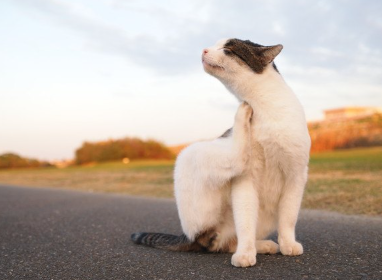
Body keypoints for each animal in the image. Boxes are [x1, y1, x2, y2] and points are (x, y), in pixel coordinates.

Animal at [131, 38, 310, 268]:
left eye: (228, 49)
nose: (204, 50)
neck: (262, 107)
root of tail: (189, 236)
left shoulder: (296, 176)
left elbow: (288, 218)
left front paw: (288, 245)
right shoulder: (245, 181)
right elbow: (245, 224)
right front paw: (246, 254)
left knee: (227, 243)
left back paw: (265, 245)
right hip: (191, 156)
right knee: (220, 240)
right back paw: (242, 113)